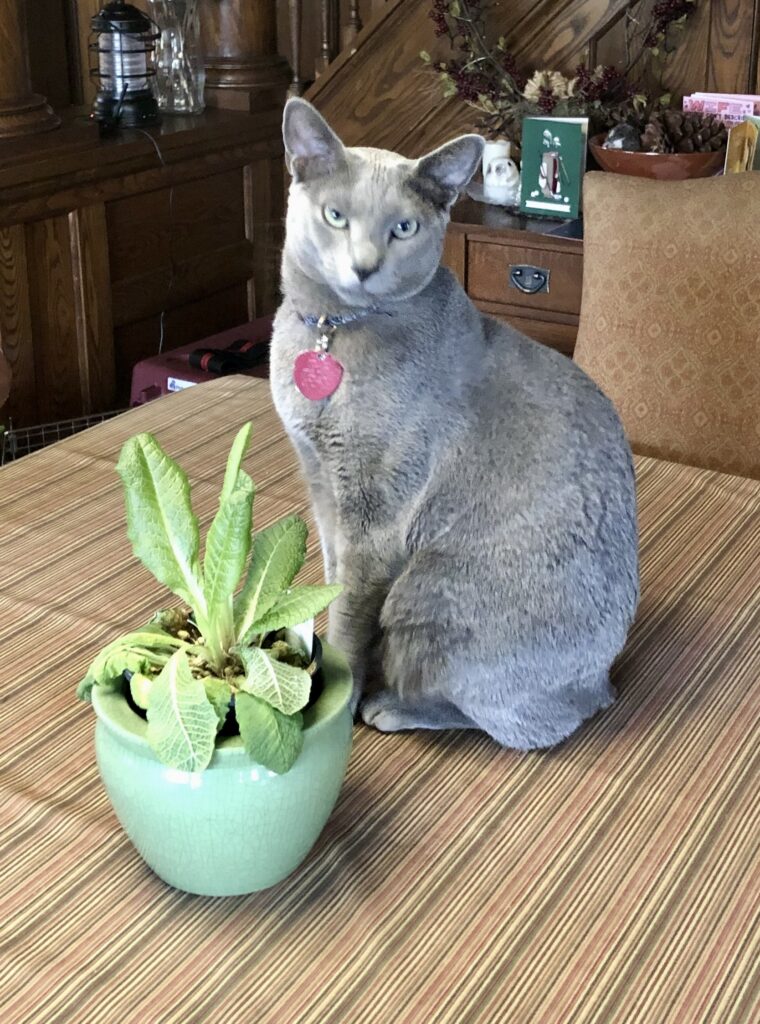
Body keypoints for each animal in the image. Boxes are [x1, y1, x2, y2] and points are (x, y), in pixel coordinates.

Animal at [270, 99, 639, 749]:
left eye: (403, 228)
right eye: (336, 216)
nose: (364, 266)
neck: (331, 329)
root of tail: (603, 681)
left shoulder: (375, 515)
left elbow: (349, 613)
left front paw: (338, 689)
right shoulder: (322, 487)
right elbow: (332, 576)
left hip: (428, 590)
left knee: (512, 722)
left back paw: (390, 707)